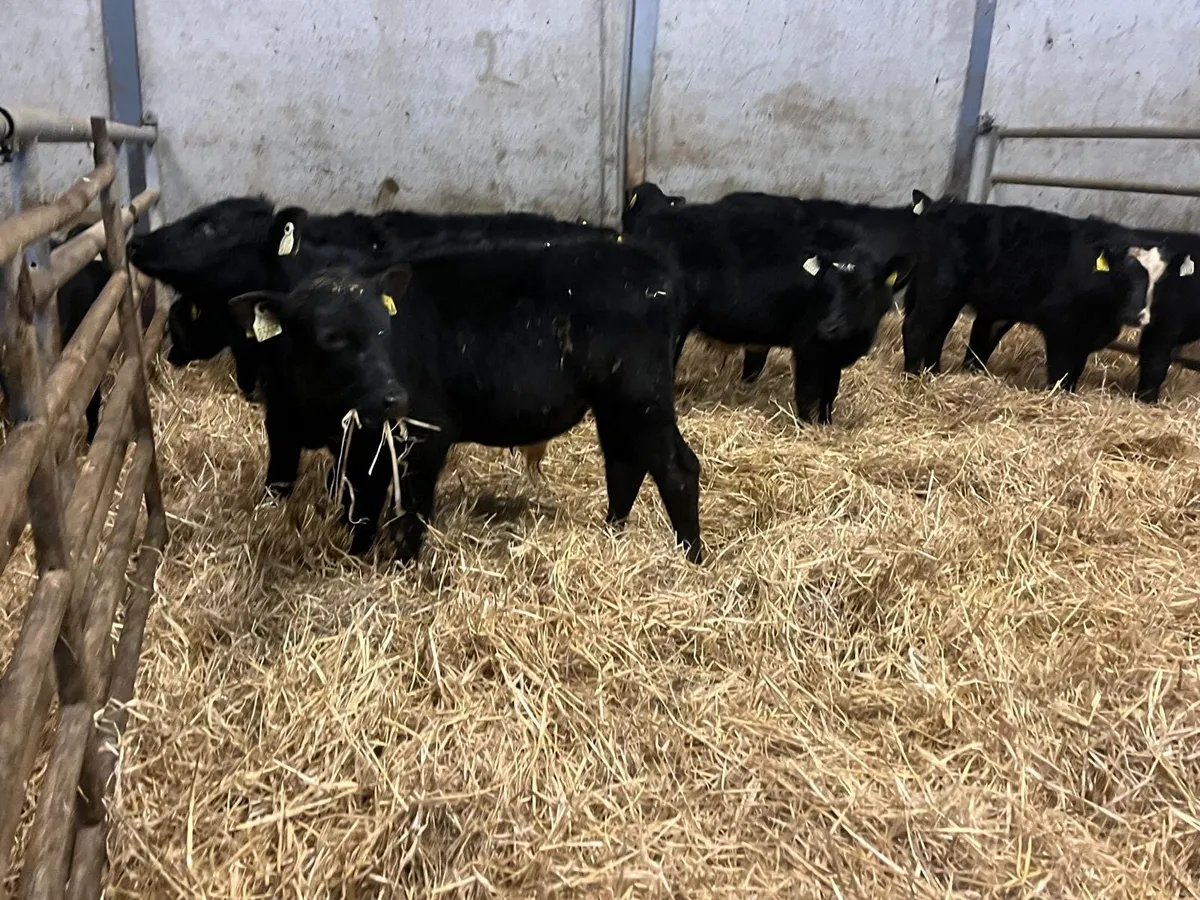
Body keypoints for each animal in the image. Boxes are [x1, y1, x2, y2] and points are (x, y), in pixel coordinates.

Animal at [229, 232, 702, 564]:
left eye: (385, 328)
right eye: (330, 338)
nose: (393, 397)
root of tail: (649, 261)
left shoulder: (425, 436)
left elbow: (410, 513)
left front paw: (401, 569)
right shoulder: (315, 439)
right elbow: (355, 506)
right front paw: (356, 557)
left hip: (641, 396)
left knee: (676, 468)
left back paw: (691, 556)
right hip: (615, 404)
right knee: (624, 464)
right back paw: (613, 536)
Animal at [623, 191, 904, 424]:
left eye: (861, 288)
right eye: (826, 286)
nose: (828, 326)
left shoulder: (830, 354)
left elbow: (829, 393)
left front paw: (826, 424)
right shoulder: (807, 346)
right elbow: (807, 392)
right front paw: (806, 425)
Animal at [902, 191, 1168, 392]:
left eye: (1157, 281)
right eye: (1124, 274)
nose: (1140, 316)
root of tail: (941, 208)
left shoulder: (1084, 337)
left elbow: (1075, 371)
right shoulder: (1060, 326)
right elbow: (1061, 371)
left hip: (949, 297)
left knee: (937, 332)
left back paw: (933, 373)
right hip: (939, 289)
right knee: (916, 328)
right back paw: (912, 377)